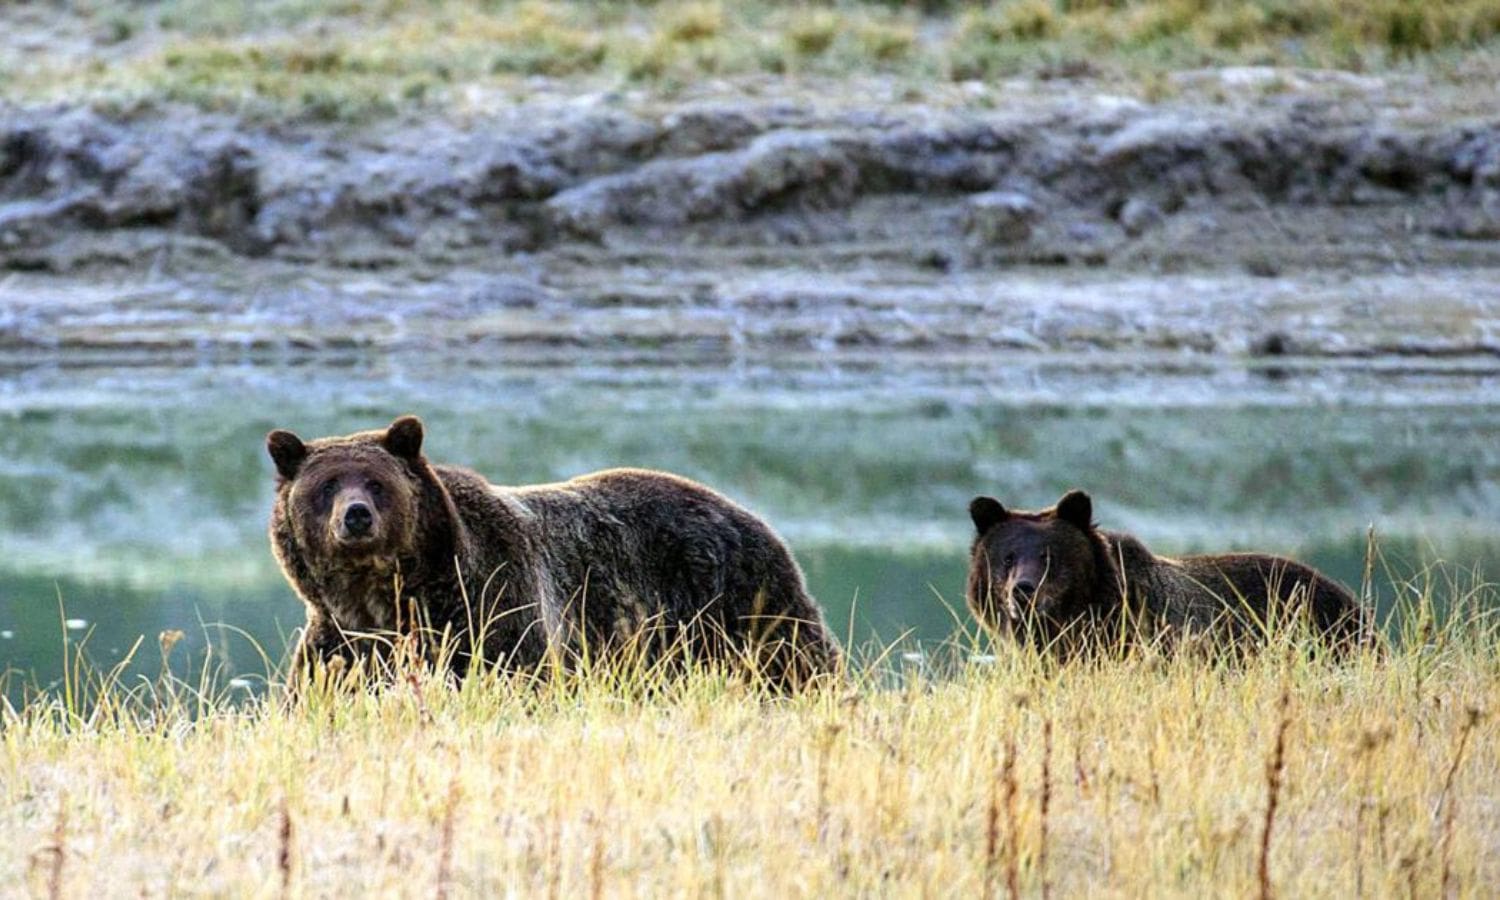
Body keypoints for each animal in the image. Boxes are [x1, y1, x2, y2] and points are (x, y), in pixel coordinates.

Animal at [264, 417, 840, 690]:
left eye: (376, 482)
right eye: (327, 485)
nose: (356, 516)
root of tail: (748, 512)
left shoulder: (491, 607)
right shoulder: (342, 641)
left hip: (739, 602)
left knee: (796, 662)